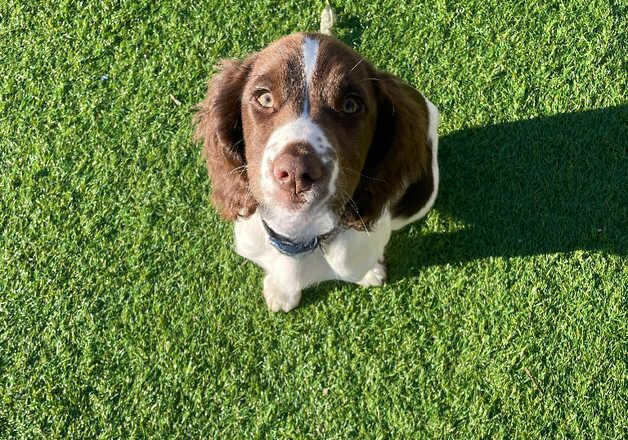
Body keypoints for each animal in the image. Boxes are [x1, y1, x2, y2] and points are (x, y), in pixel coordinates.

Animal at [194, 29, 440, 312]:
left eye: (350, 105)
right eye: (264, 97)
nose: (296, 171)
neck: (301, 237)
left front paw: (371, 273)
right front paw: (281, 291)